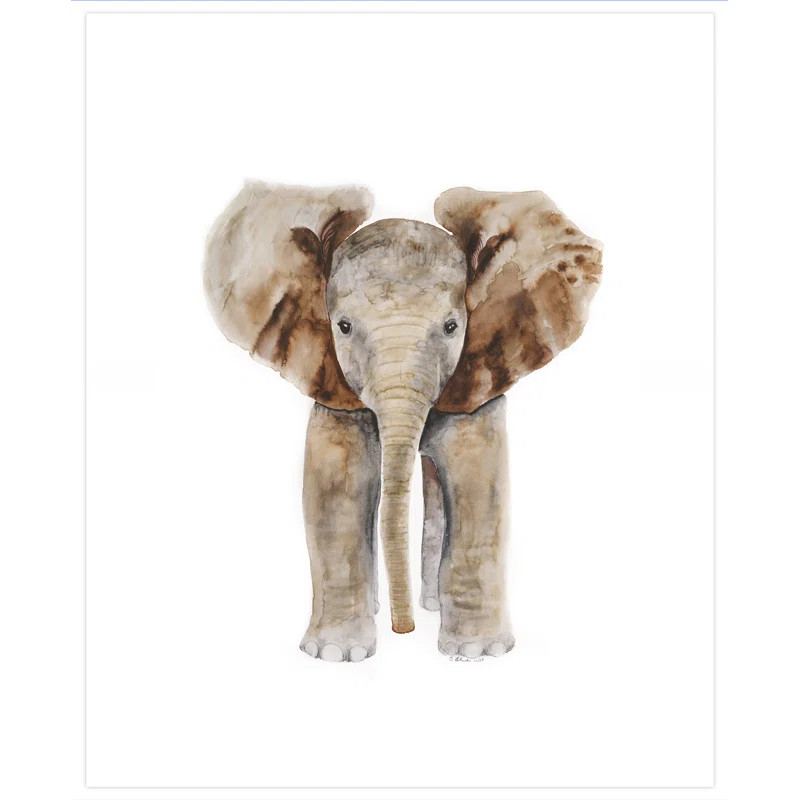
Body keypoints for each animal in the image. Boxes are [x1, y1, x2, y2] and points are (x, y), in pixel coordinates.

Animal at [203, 182, 602, 662]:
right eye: (343, 326)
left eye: (452, 327)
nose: (404, 631)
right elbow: (337, 485)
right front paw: (335, 654)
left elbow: (478, 482)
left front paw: (476, 652)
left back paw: (432, 606)